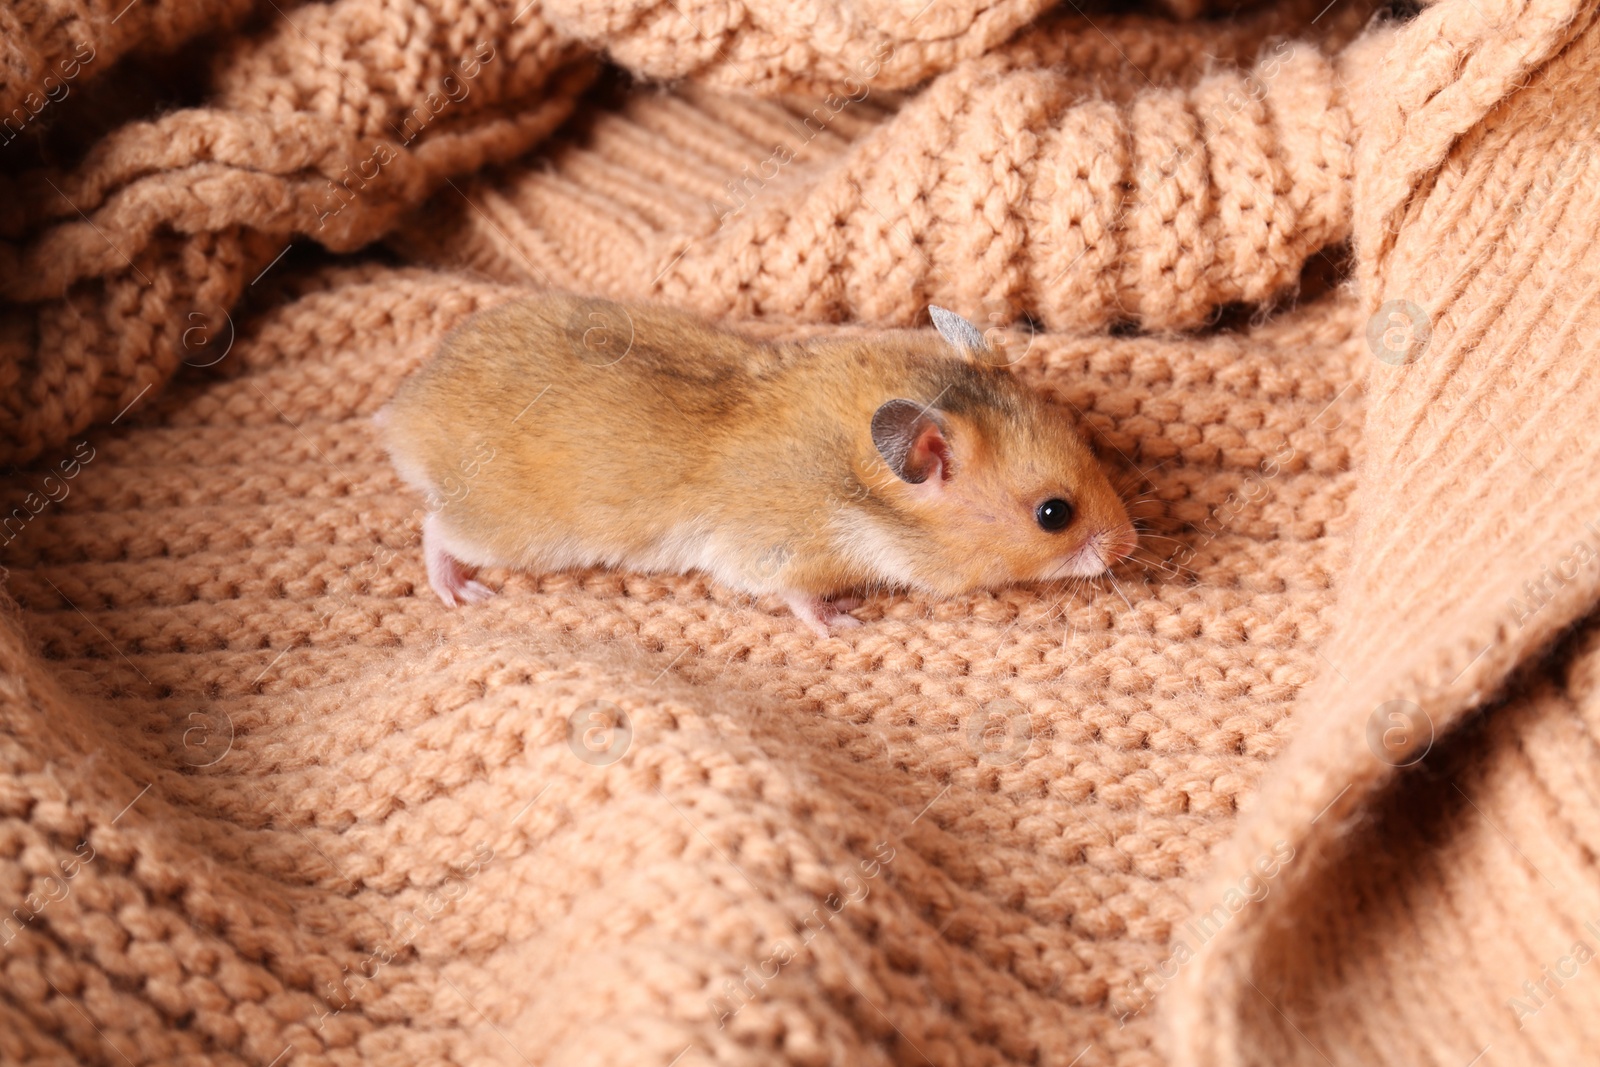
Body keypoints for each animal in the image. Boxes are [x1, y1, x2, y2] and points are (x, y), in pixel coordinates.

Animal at [380, 294, 1139, 633]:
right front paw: (844, 622)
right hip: (511, 531)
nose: (1131, 545)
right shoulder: (773, 553)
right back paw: (459, 592)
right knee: (434, 528)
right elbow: (798, 596)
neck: (856, 485)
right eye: (1053, 514)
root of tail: (408, 410)